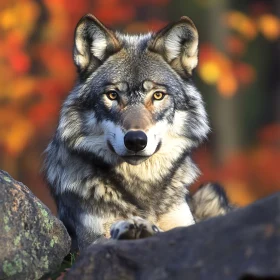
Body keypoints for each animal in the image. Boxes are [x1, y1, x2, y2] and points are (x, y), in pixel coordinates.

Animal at [44, 13, 232, 252]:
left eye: (158, 95)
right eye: (112, 95)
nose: (135, 140)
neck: (141, 186)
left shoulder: (183, 223)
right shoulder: (90, 240)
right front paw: (132, 228)